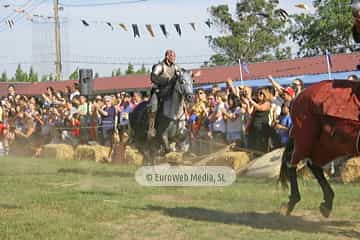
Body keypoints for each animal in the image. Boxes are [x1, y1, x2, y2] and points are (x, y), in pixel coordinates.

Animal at [282, 79, 360, 218]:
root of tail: (299, 95)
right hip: (305, 136)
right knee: (293, 163)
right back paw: (292, 202)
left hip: (329, 144)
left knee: (313, 164)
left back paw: (327, 203)